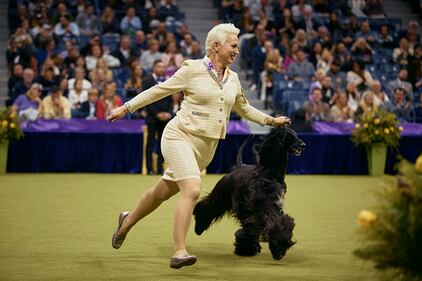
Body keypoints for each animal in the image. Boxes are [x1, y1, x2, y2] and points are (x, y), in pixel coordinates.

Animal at [193, 126, 304, 260]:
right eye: (288, 136)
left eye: (296, 134)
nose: (303, 144)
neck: (270, 174)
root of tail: (239, 166)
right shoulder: (262, 206)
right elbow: (269, 224)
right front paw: (274, 249)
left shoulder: (273, 206)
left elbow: (279, 222)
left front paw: (278, 248)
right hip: (222, 194)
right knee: (207, 207)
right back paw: (199, 227)